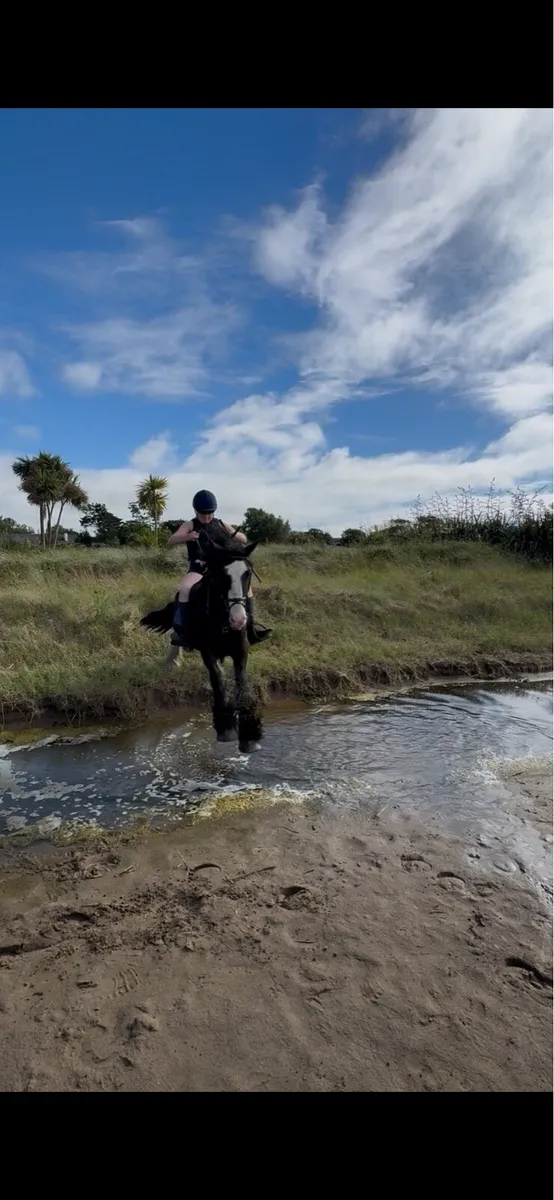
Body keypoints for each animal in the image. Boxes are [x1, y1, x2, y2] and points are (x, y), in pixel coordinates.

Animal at [140, 530, 265, 753]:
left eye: (247, 574)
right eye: (221, 575)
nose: (239, 620)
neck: (222, 619)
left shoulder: (241, 652)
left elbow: (241, 684)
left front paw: (249, 735)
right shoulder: (208, 652)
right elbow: (218, 681)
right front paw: (225, 729)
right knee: (174, 639)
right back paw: (172, 663)